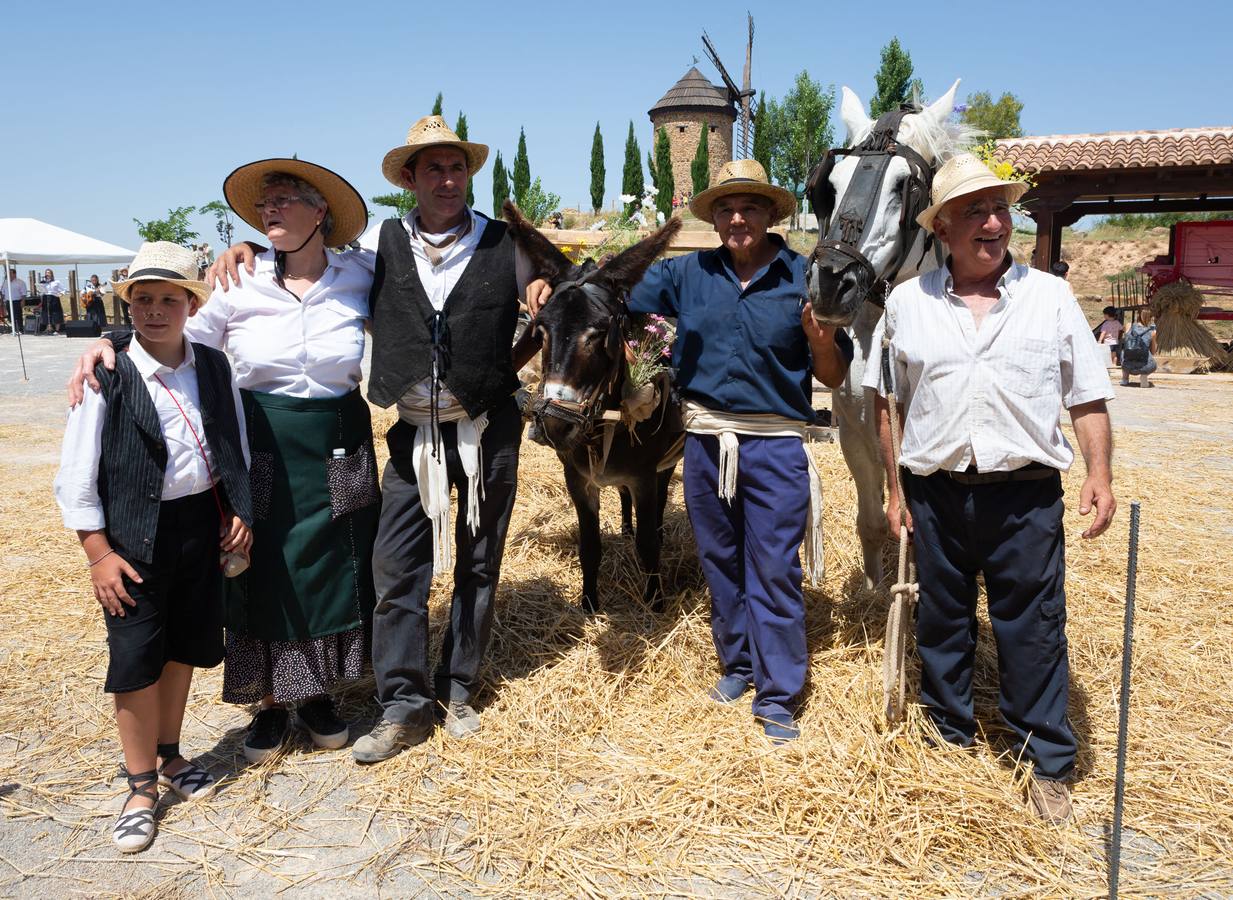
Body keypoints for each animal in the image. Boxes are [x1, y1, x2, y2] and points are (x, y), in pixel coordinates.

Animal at [803, 80, 976, 584]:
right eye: (831, 185)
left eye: (906, 187)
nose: (830, 283)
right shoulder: (854, 434)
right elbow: (874, 520)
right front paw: (873, 587)